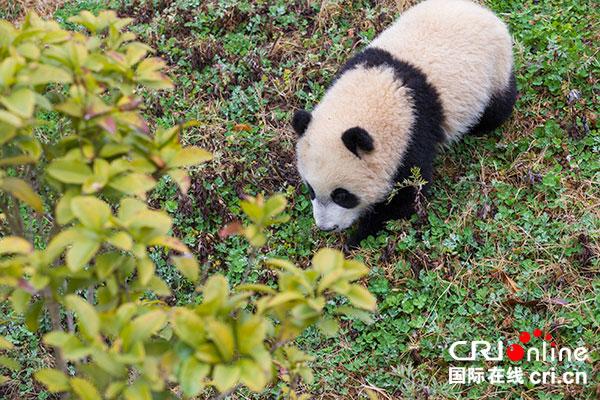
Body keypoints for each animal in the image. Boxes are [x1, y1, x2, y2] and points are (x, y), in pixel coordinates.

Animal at [290, 0, 516, 247]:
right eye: (311, 189)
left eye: (341, 195)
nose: (326, 227)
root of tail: (484, 12)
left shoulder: (413, 132)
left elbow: (406, 194)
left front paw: (356, 239)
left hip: (495, 68)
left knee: (499, 106)